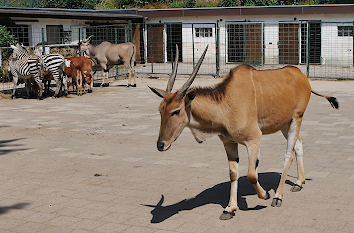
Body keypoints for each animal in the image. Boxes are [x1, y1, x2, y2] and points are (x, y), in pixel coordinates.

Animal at [148, 45, 338, 220]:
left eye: (176, 111)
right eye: (160, 110)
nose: (160, 145)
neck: (225, 102)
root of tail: (301, 75)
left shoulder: (254, 140)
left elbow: (252, 175)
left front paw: (265, 195)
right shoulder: (229, 143)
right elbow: (233, 173)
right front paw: (230, 208)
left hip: (296, 119)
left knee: (288, 154)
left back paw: (278, 196)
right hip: (284, 124)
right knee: (298, 144)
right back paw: (299, 182)